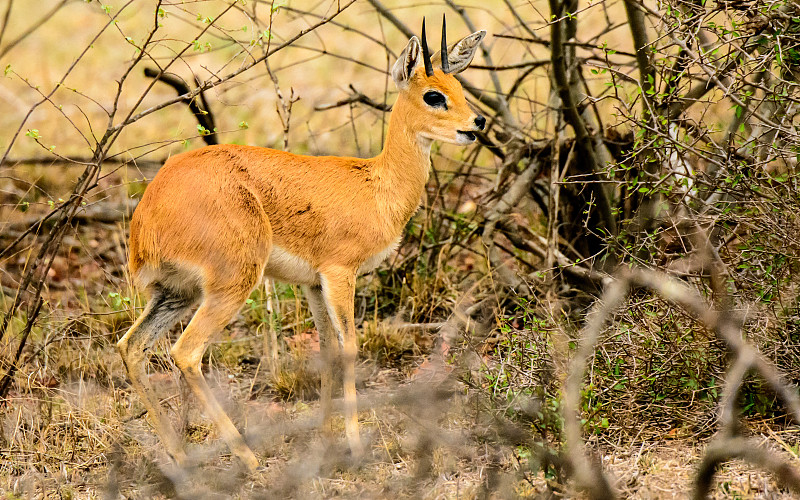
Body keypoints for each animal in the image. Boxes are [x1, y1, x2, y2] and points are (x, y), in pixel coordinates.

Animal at [115, 17, 484, 470]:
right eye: (434, 95)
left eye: (459, 87)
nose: (477, 123)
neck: (375, 186)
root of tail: (146, 217)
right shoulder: (340, 273)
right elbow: (350, 347)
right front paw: (355, 446)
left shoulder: (311, 283)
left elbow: (326, 349)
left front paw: (325, 440)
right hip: (231, 284)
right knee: (186, 351)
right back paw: (249, 460)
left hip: (177, 292)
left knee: (132, 347)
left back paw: (182, 458)